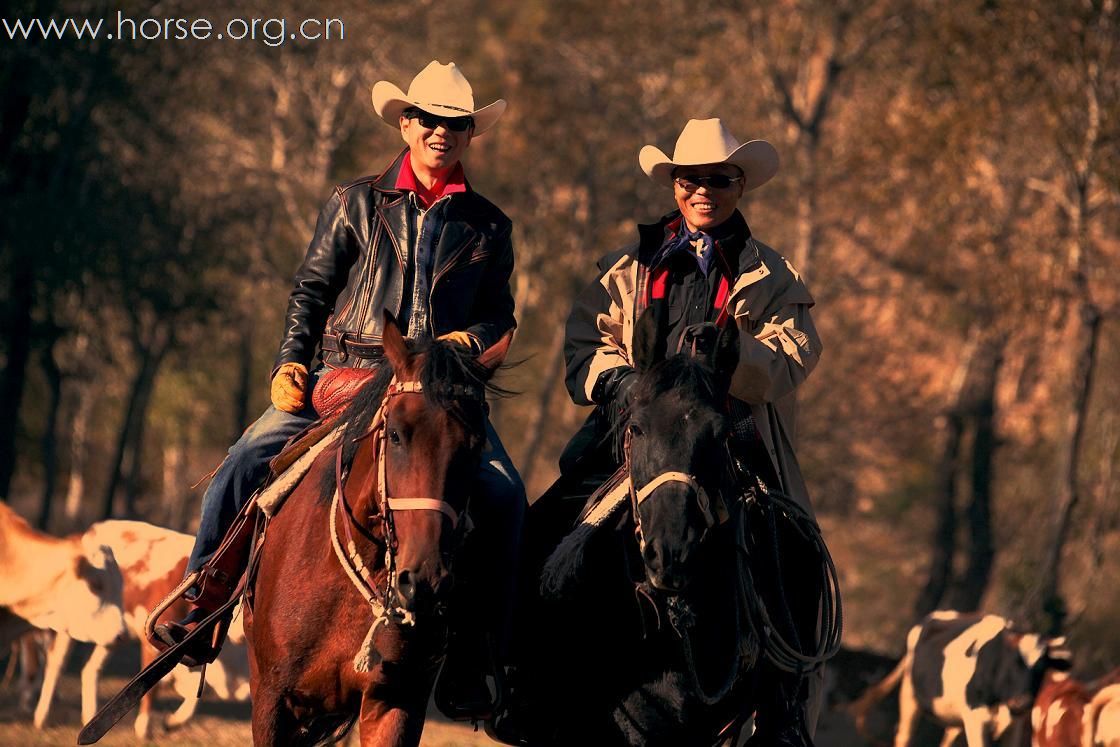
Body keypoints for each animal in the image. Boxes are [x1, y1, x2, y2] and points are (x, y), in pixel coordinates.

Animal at [30, 524, 249, 739]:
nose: (243, 691)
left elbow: (187, 684)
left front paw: (171, 722)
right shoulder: (154, 643)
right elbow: (154, 686)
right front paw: (145, 727)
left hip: (112, 636)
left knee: (91, 669)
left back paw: (89, 717)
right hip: (70, 626)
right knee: (57, 662)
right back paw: (43, 717)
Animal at [846, 613, 1075, 747]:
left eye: (1042, 667)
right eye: (1012, 662)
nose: (1022, 701)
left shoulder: (1014, 726)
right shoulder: (976, 718)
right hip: (909, 696)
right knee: (904, 736)